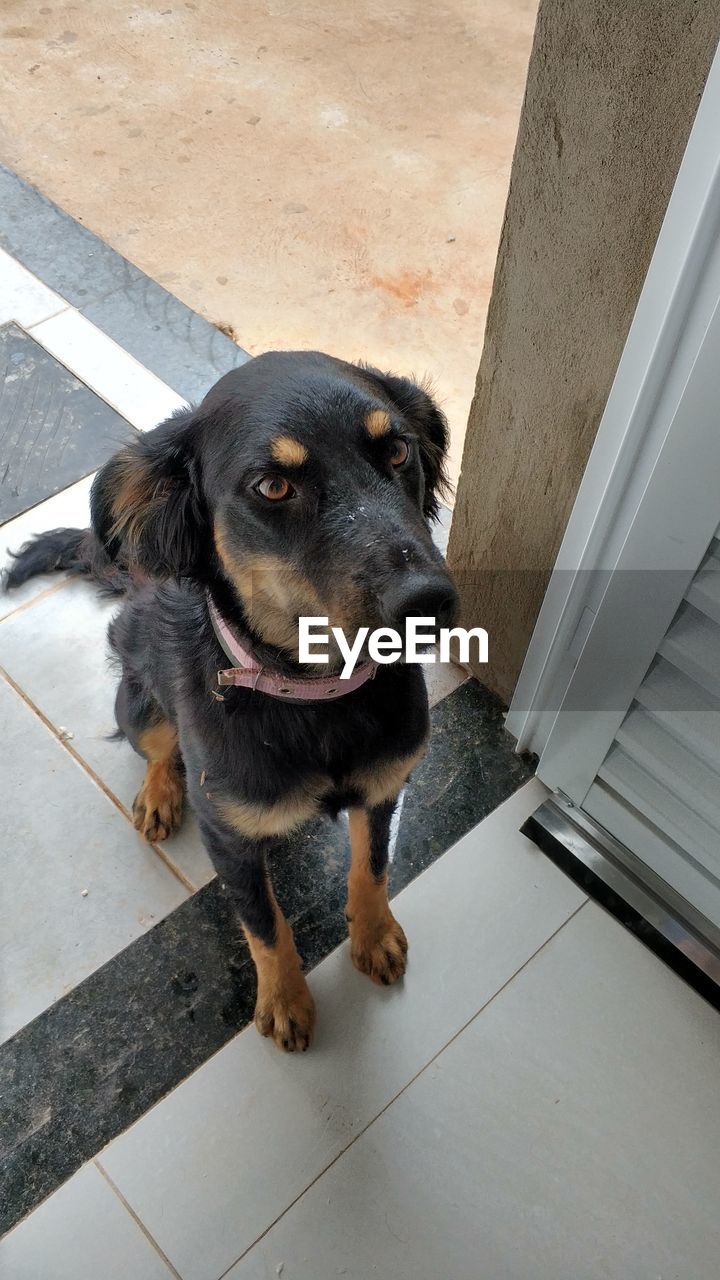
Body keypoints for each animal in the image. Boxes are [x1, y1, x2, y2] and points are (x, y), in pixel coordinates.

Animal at [7, 350, 453, 1049]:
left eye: (398, 451)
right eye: (272, 487)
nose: (430, 604)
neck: (315, 697)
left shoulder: (385, 787)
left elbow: (372, 865)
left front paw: (374, 934)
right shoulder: (229, 837)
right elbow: (265, 923)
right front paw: (285, 999)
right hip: (139, 702)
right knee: (156, 749)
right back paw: (160, 794)